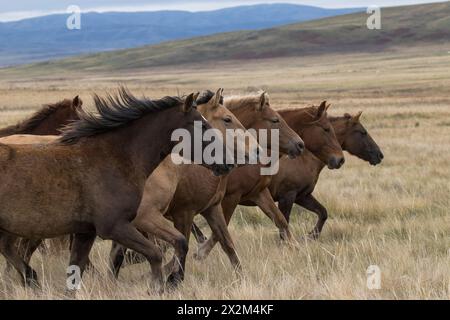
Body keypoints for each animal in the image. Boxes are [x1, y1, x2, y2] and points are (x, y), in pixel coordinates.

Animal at [0, 88, 232, 292]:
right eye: (201, 126)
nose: (228, 162)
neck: (116, 157)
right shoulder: (115, 226)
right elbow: (155, 253)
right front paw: (161, 285)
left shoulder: (86, 232)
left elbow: (76, 271)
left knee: (11, 250)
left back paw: (29, 278)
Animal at [193, 102, 344, 260]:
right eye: (326, 129)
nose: (340, 159)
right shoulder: (232, 196)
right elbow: (221, 228)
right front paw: (202, 251)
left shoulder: (261, 193)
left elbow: (283, 220)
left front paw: (299, 246)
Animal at [268, 111, 384, 239]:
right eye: (363, 132)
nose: (379, 155)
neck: (304, 158)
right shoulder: (287, 197)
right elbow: (283, 224)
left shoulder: (302, 196)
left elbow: (323, 213)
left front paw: (311, 236)